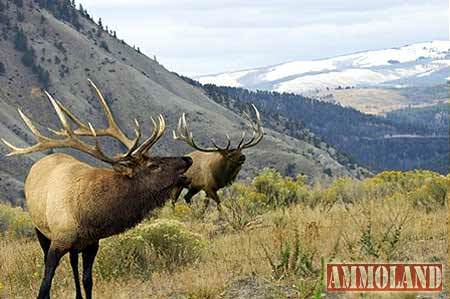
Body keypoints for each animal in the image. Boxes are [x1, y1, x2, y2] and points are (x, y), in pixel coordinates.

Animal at [0, 80, 193, 299]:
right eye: (154, 165)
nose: (188, 158)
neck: (87, 217)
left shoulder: (92, 243)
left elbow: (88, 281)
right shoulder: (57, 241)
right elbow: (44, 285)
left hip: (75, 246)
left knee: (73, 263)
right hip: (39, 229)